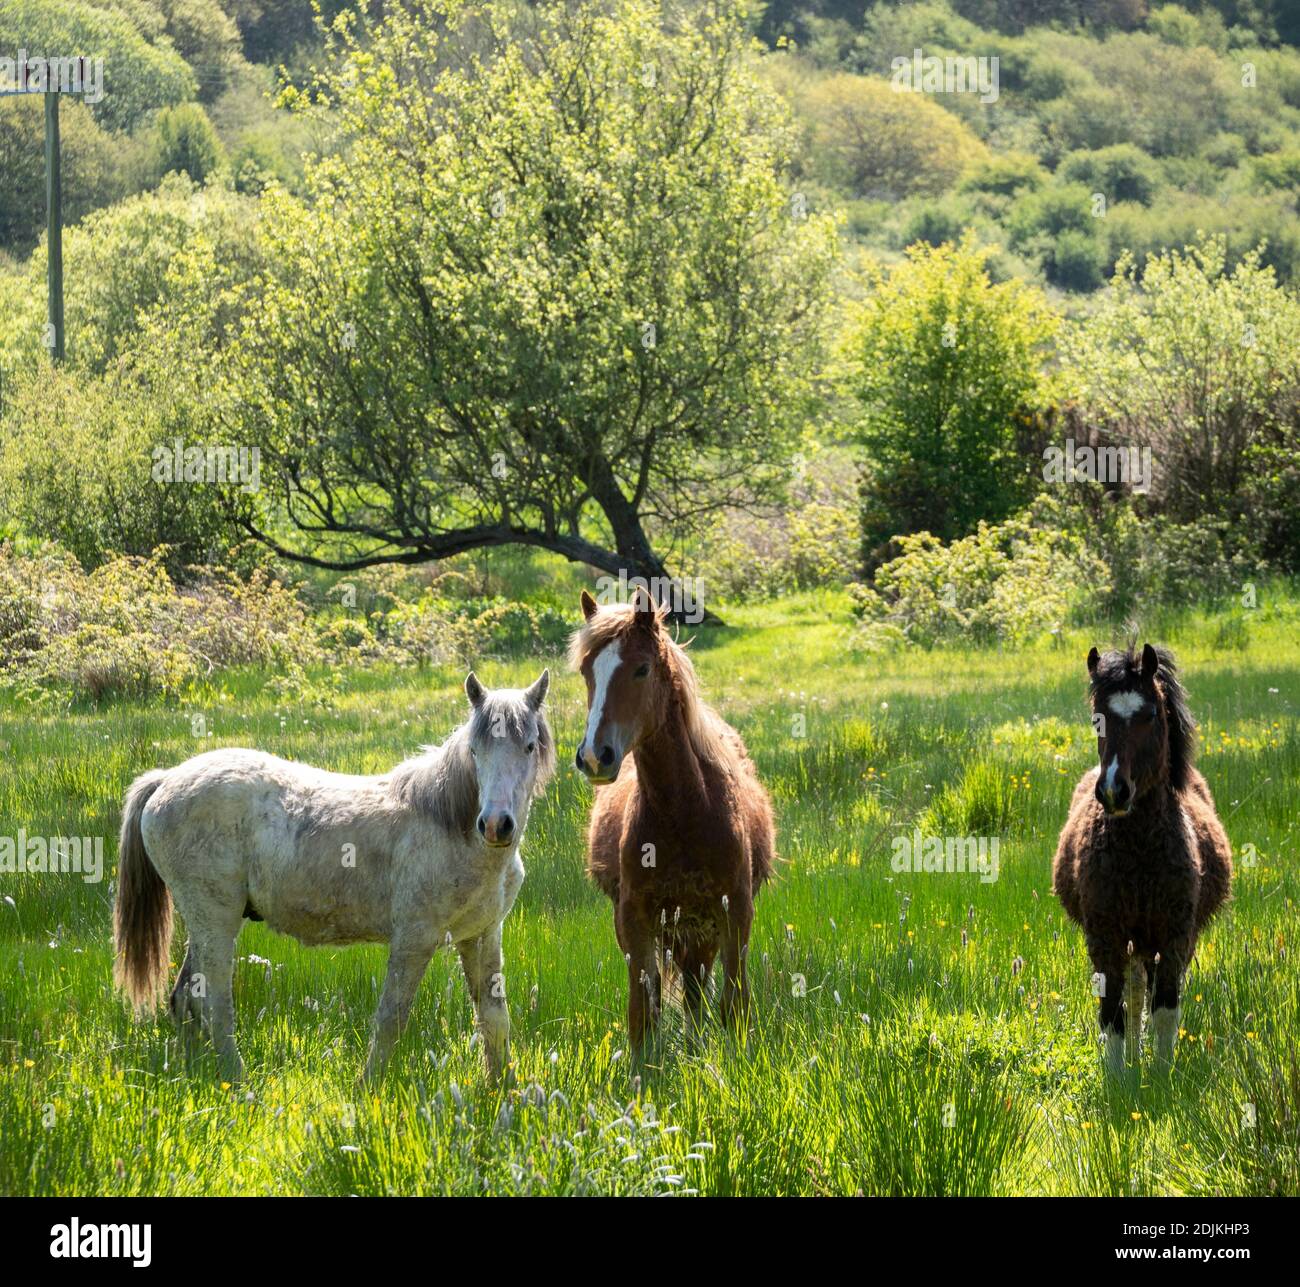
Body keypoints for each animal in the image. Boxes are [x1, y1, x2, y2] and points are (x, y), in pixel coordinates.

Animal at [113, 670, 553, 1081]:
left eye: (529, 746)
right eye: (475, 750)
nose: (495, 824)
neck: (447, 823)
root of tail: (166, 780)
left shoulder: (481, 936)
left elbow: (494, 1019)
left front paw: (503, 1090)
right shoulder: (414, 938)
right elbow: (391, 1019)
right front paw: (369, 1086)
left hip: (205, 923)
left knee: (184, 999)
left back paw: (198, 1074)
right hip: (214, 920)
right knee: (214, 1002)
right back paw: (237, 1081)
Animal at [566, 590, 769, 1050]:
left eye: (642, 668)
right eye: (587, 671)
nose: (594, 756)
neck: (686, 813)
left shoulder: (735, 912)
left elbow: (734, 1004)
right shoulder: (634, 918)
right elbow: (643, 1011)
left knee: (698, 990)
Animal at [1055, 644, 1227, 1076]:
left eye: (1149, 714)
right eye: (1097, 718)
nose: (1113, 791)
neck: (1139, 854)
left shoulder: (1175, 936)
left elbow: (1164, 1007)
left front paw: (1162, 1075)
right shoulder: (1105, 937)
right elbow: (1112, 1013)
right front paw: (1119, 1078)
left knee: (1147, 993)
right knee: (1133, 997)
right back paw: (1133, 1058)